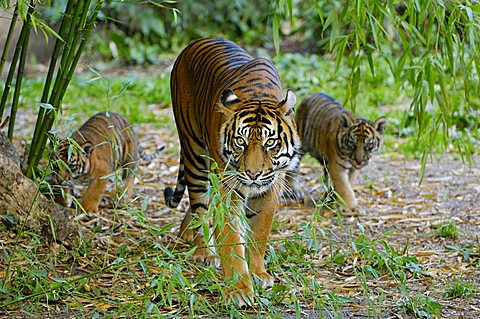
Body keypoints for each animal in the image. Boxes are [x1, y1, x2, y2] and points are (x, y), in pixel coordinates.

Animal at [165, 38, 300, 308]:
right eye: (240, 141)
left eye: (270, 142)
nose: (253, 174)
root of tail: (195, 42)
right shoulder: (228, 189)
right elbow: (230, 237)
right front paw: (238, 289)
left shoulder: (271, 188)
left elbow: (259, 232)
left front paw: (258, 274)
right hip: (195, 153)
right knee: (199, 206)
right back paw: (204, 252)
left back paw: (186, 235)